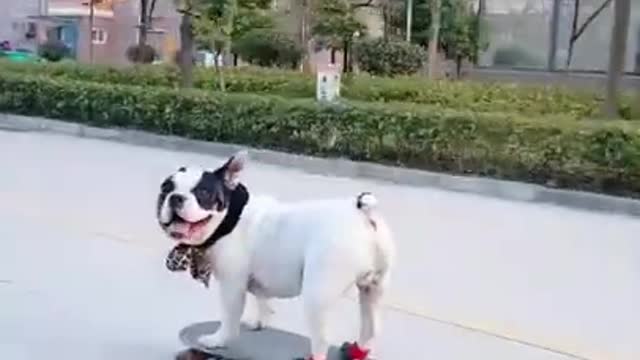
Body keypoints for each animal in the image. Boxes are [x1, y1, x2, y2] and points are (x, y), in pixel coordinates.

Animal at [158, 151, 392, 360]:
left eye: (203, 194)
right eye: (165, 190)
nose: (175, 198)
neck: (229, 220)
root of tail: (363, 215)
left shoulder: (232, 285)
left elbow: (229, 316)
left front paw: (218, 340)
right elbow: (262, 298)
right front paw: (259, 321)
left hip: (318, 294)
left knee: (321, 340)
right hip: (374, 288)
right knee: (371, 326)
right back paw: (357, 351)